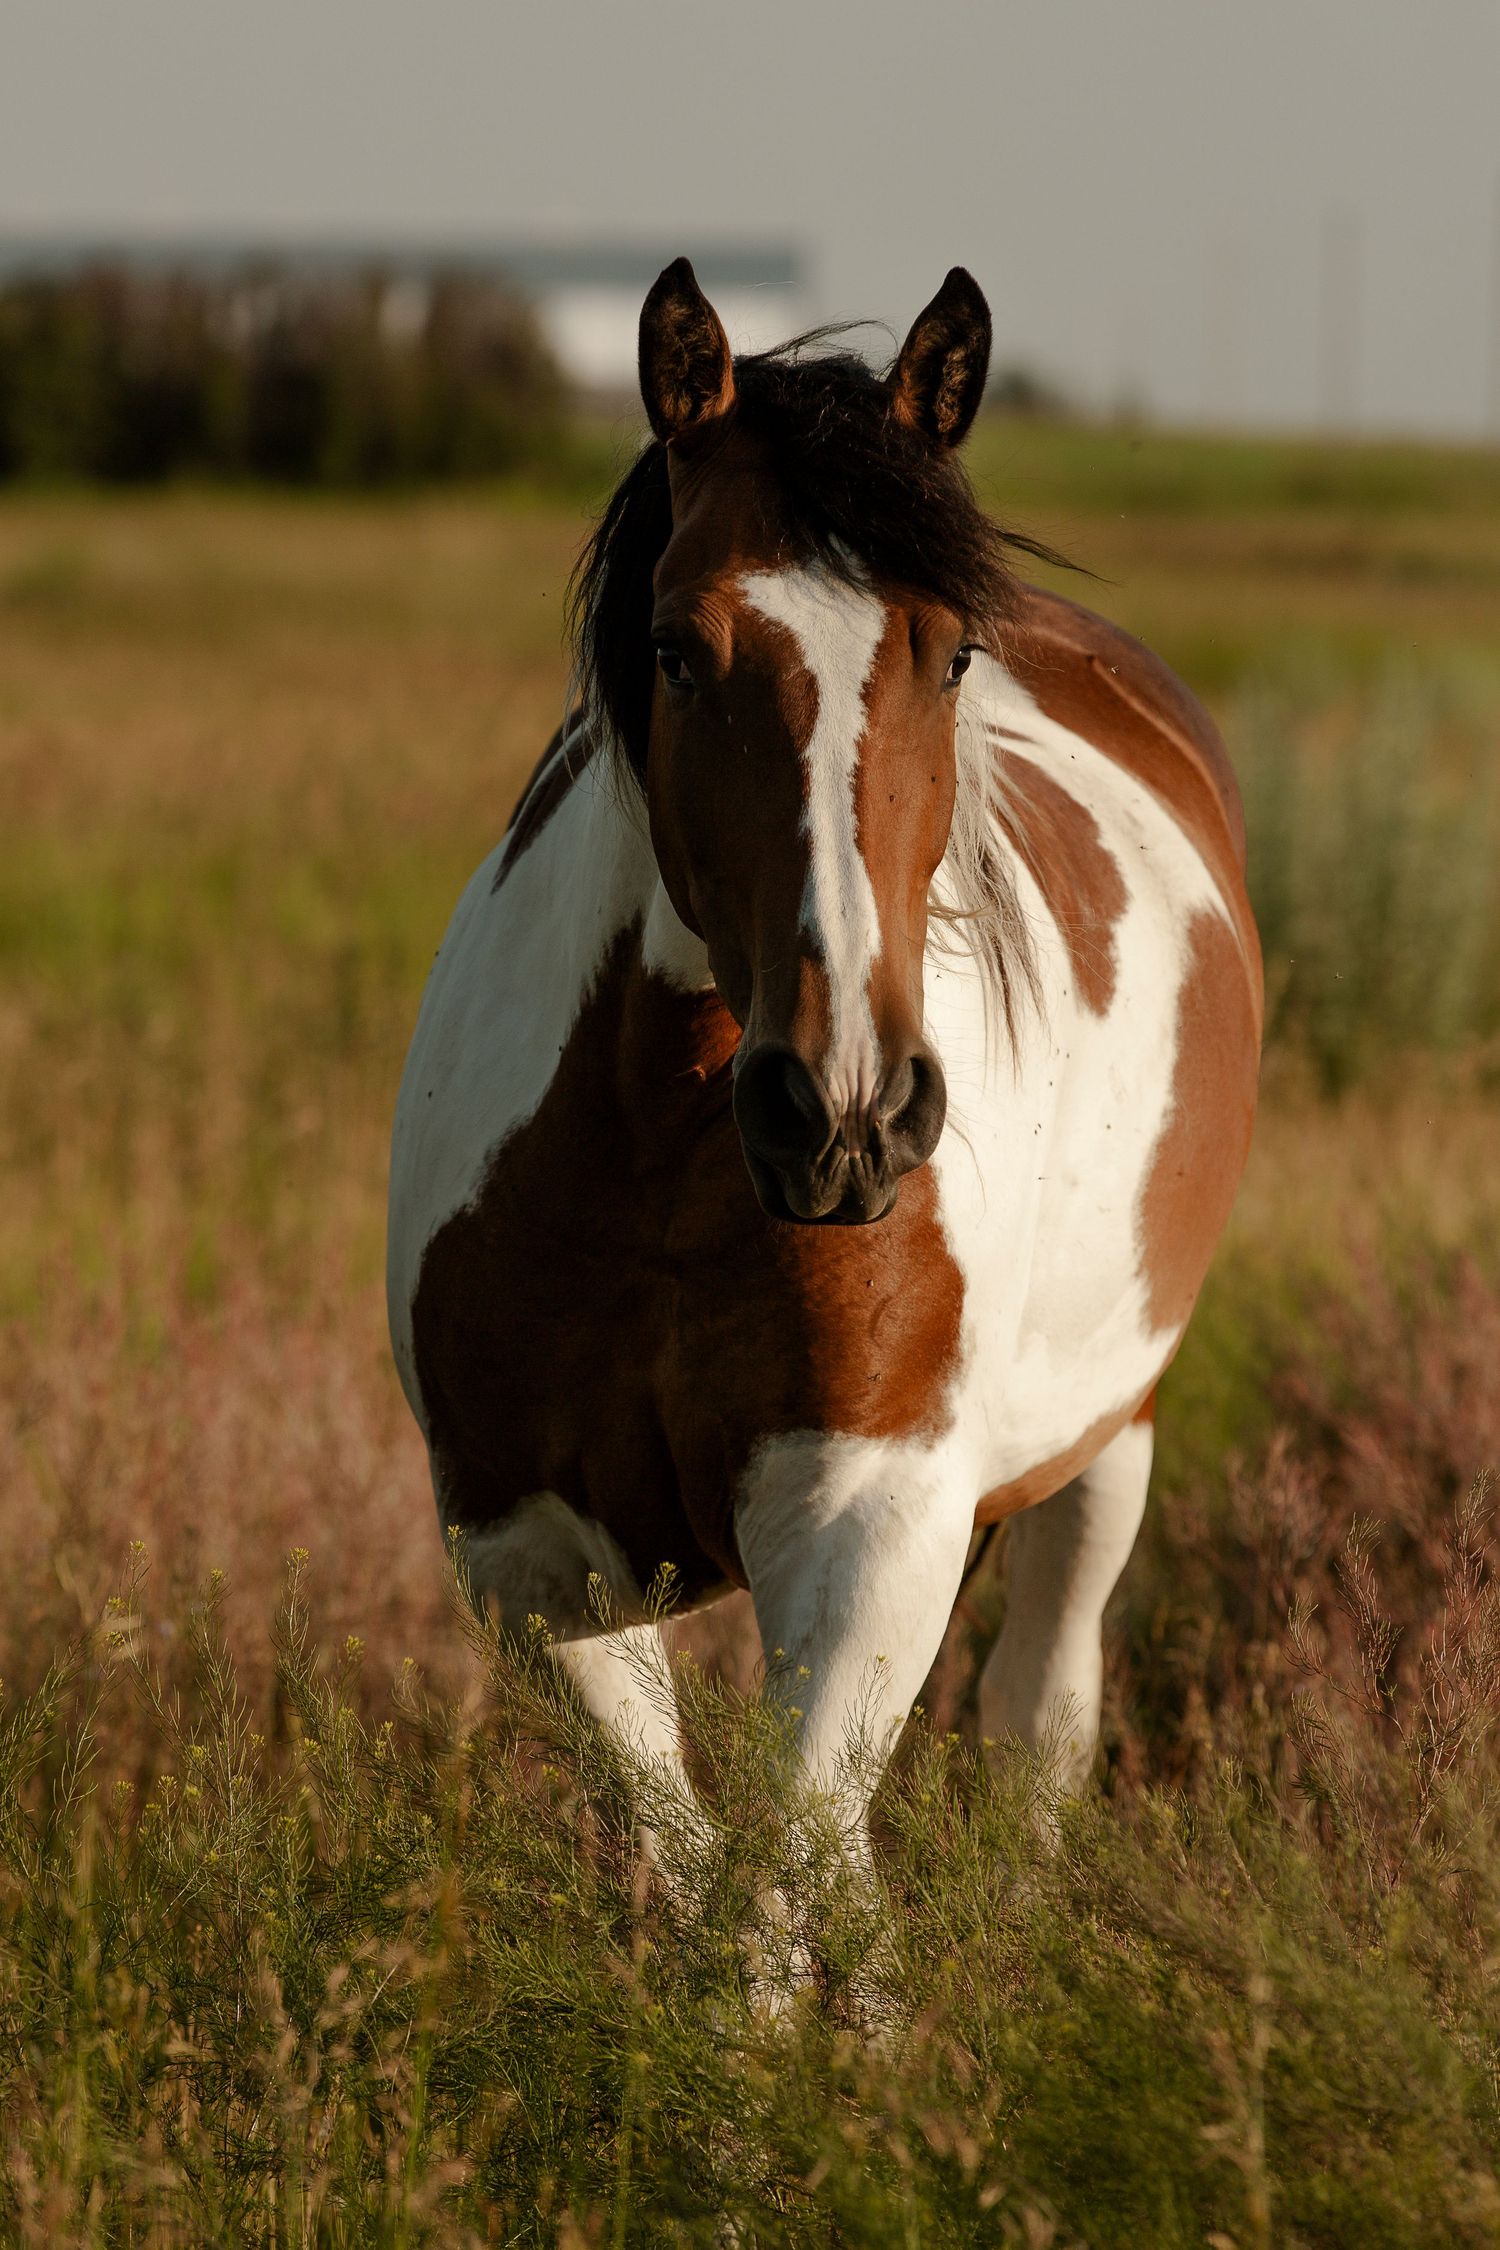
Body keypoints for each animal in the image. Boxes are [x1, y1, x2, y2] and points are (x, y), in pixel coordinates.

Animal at [386, 259, 1262, 1844]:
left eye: (951, 652)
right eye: (676, 649)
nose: (845, 1115)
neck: (655, 1153)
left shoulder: (871, 1523)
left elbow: (792, 1867)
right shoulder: (531, 1561)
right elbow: (685, 1862)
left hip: (1109, 1442)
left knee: (1041, 1718)